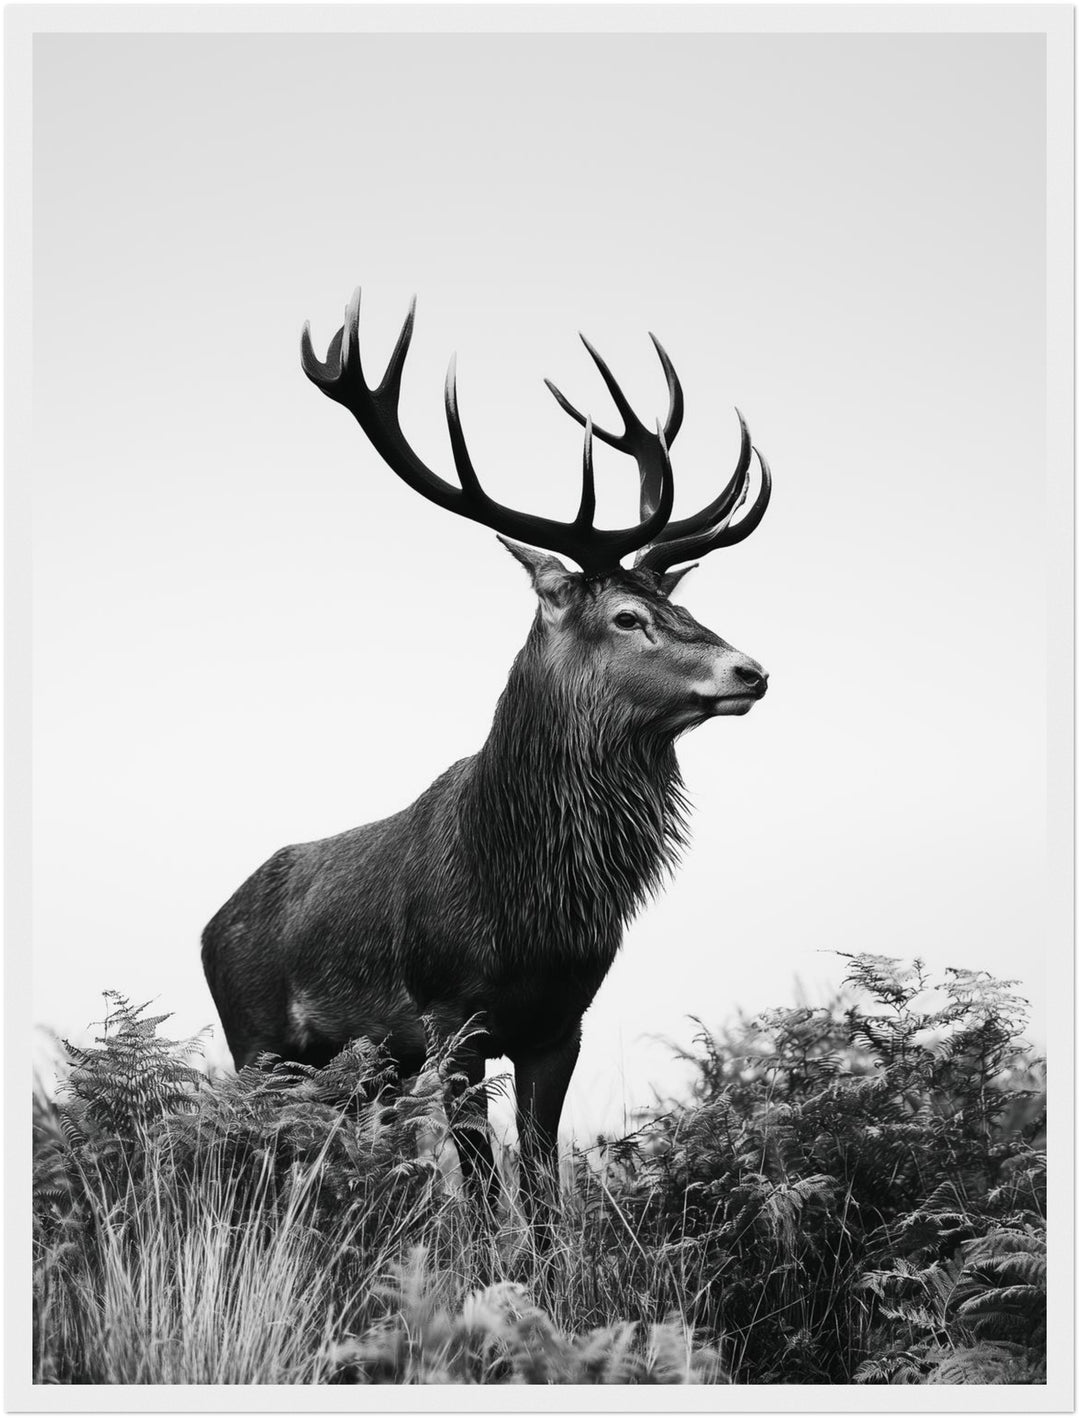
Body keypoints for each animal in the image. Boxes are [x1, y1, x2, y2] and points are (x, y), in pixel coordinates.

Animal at [201, 287, 771, 1229]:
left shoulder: (560, 1022)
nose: (752, 670)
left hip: (363, 1068)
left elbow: (540, 1186)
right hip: (256, 1041)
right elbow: (476, 1181)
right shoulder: (451, 1015)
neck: (525, 899)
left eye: (679, 605)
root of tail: (211, 922)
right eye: (626, 617)